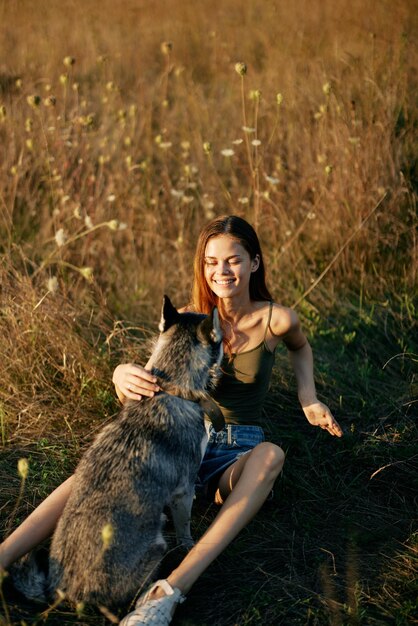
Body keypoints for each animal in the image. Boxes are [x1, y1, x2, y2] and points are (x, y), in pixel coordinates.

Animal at [11, 294, 224, 608]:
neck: (171, 388)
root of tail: (62, 591)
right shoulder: (183, 491)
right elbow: (185, 531)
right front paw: (189, 546)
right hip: (157, 546)